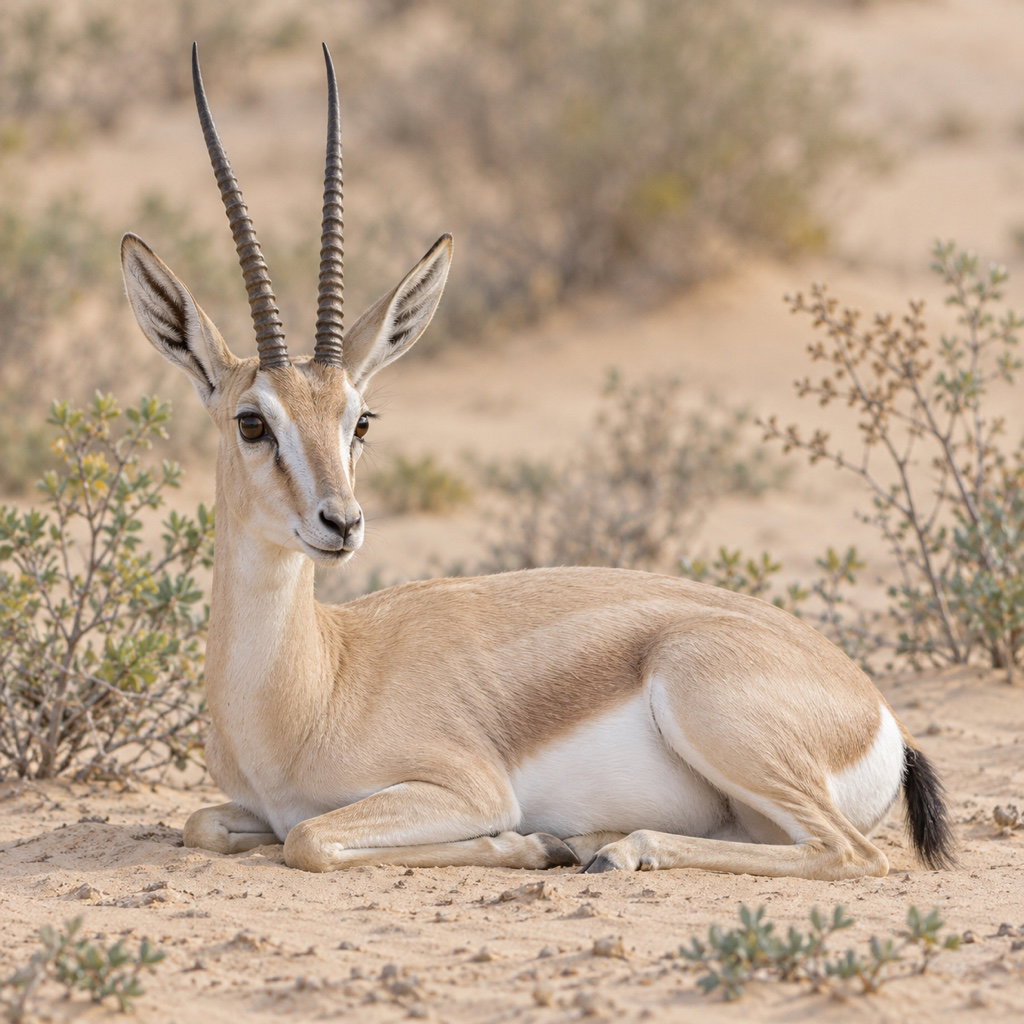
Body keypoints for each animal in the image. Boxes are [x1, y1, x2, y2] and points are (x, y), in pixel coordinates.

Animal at [120, 44, 955, 879]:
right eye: (252, 422)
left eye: (361, 421)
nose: (342, 523)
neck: (317, 681)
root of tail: (876, 711)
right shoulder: (243, 808)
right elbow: (206, 822)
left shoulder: (465, 788)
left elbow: (312, 837)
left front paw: (529, 842)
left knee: (848, 853)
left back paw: (609, 849)